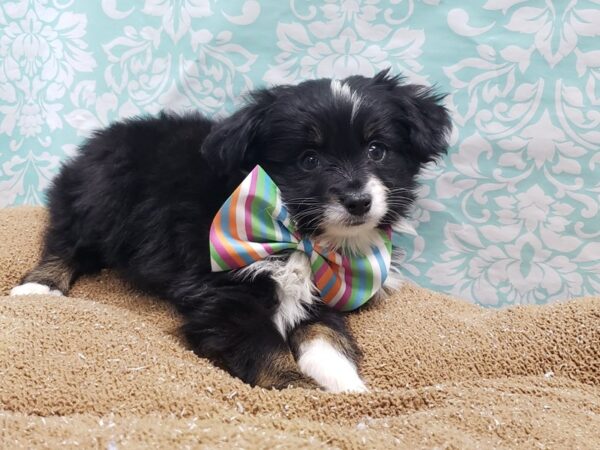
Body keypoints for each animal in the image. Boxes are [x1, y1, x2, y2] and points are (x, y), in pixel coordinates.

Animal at [10, 68, 450, 392]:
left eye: (377, 150)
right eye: (308, 159)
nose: (358, 200)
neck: (303, 236)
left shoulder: (326, 290)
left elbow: (327, 339)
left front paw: (349, 391)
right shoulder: (226, 294)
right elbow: (265, 349)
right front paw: (302, 392)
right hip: (97, 197)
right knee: (66, 241)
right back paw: (39, 287)